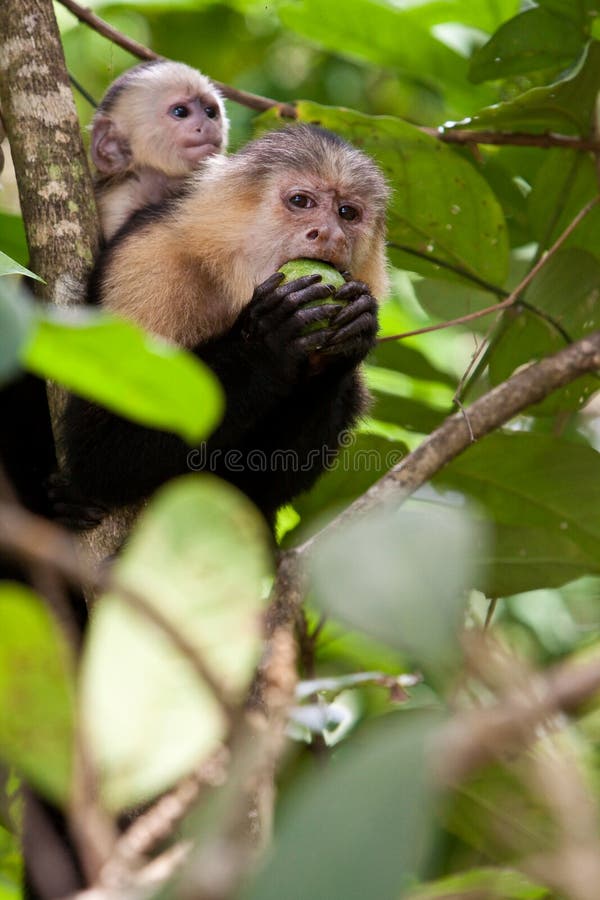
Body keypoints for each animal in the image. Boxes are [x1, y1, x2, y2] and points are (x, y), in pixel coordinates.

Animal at [59, 123, 390, 524]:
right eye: (301, 202)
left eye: (347, 213)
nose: (331, 234)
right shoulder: (146, 267)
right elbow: (100, 453)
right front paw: (269, 340)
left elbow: (251, 489)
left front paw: (343, 346)